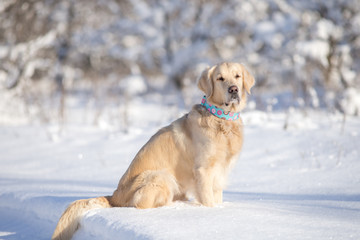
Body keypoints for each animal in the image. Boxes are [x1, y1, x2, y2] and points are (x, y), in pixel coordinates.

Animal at [52, 62, 256, 240]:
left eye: (237, 76)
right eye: (220, 78)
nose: (233, 89)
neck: (221, 119)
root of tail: (114, 198)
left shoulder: (220, 171)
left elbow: (217, 197)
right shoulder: (203, 170)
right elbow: (208, 200)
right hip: (160, 176)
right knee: (142, 205)